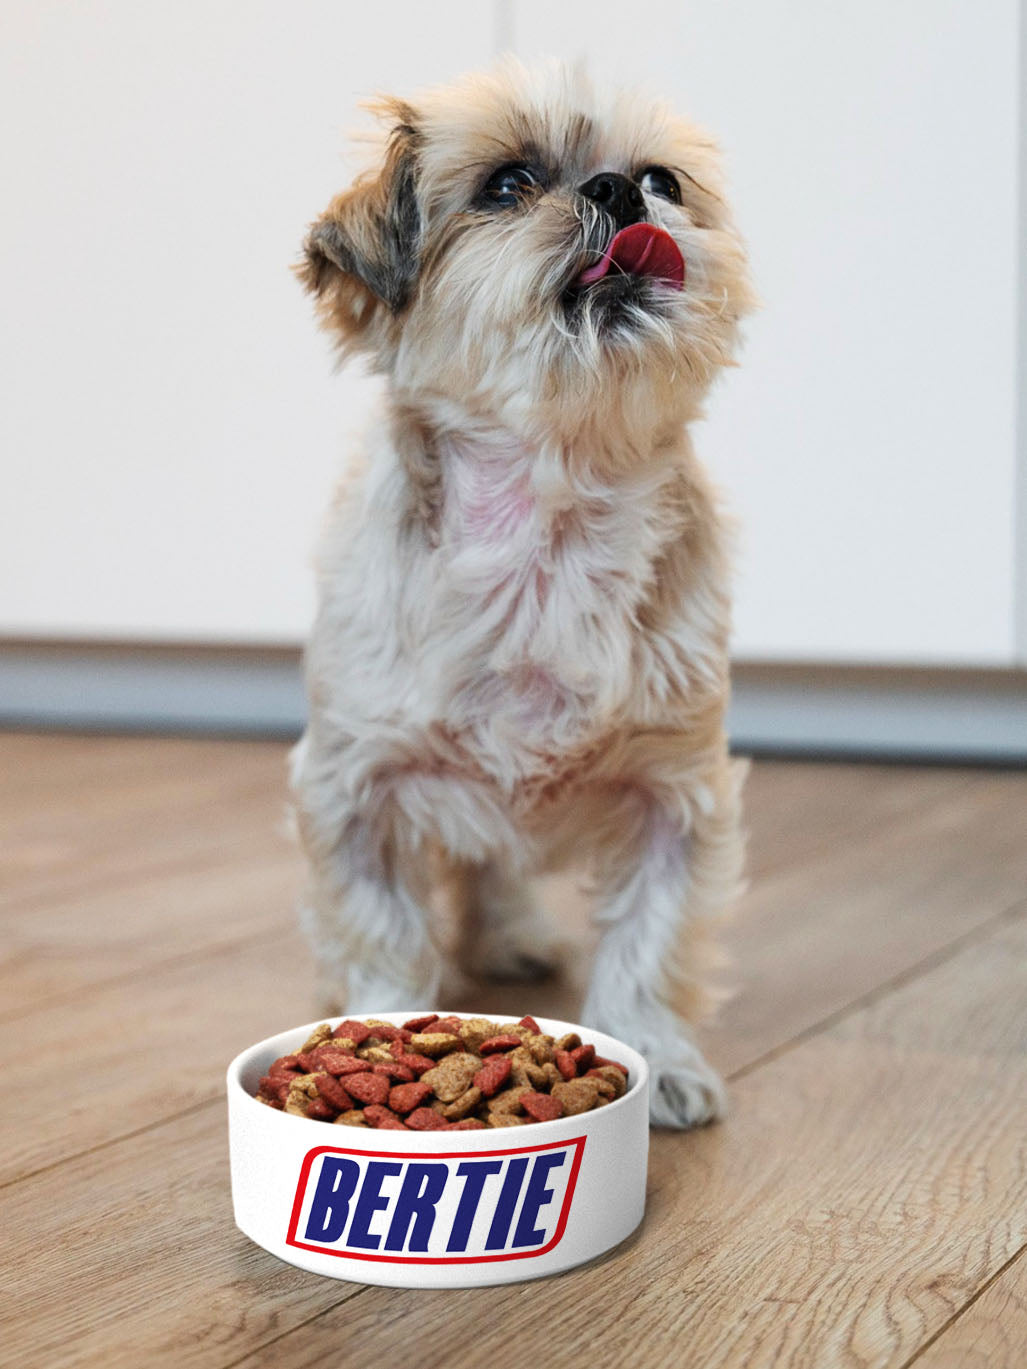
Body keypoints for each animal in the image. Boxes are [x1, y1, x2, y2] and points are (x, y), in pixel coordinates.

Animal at [290, 56, 755, 1122]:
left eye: (663, 179)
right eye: (507, 185)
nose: (619, 192)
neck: (546, 536)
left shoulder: (675, 794)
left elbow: (649, 945)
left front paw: (658, 1060)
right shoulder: (356, 787)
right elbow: (384, 929)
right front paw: (378, 1032)